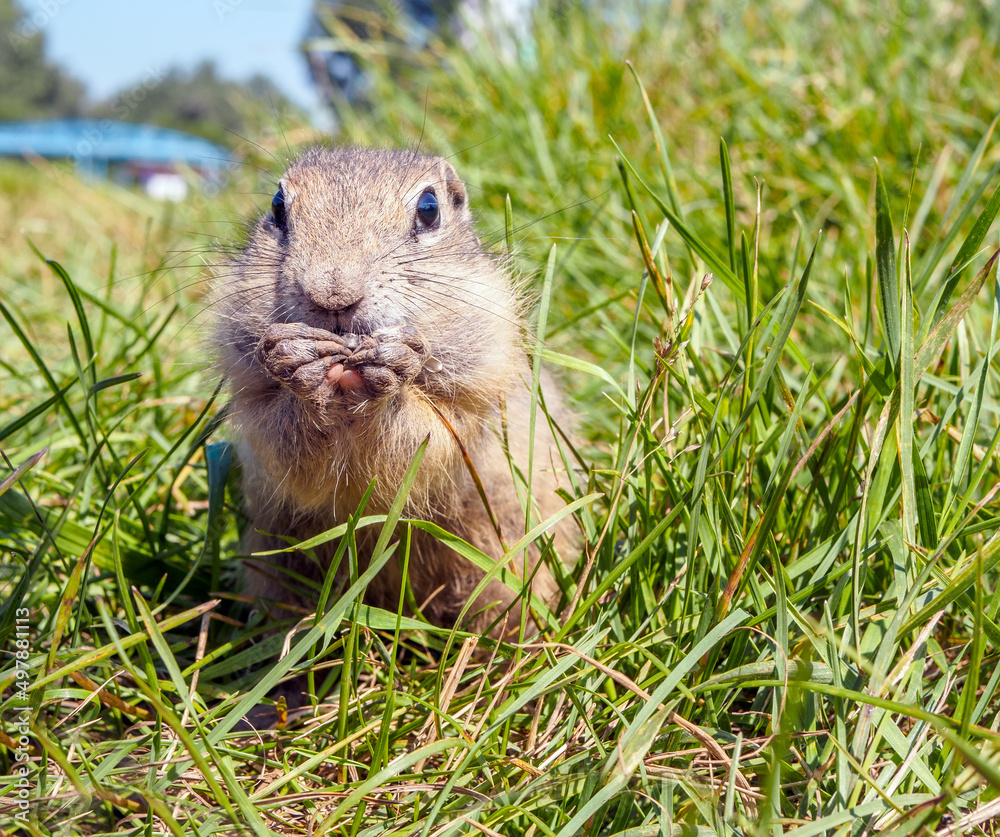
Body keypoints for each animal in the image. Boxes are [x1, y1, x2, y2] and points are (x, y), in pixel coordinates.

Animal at [217, 149, 580, 632]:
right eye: (277, 206)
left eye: (429, 208)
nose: (333, 295)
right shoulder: (253, 405)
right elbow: (284, 444)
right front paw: (298, 360)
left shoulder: (479, 392)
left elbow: (427, 439)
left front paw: (390, 365)